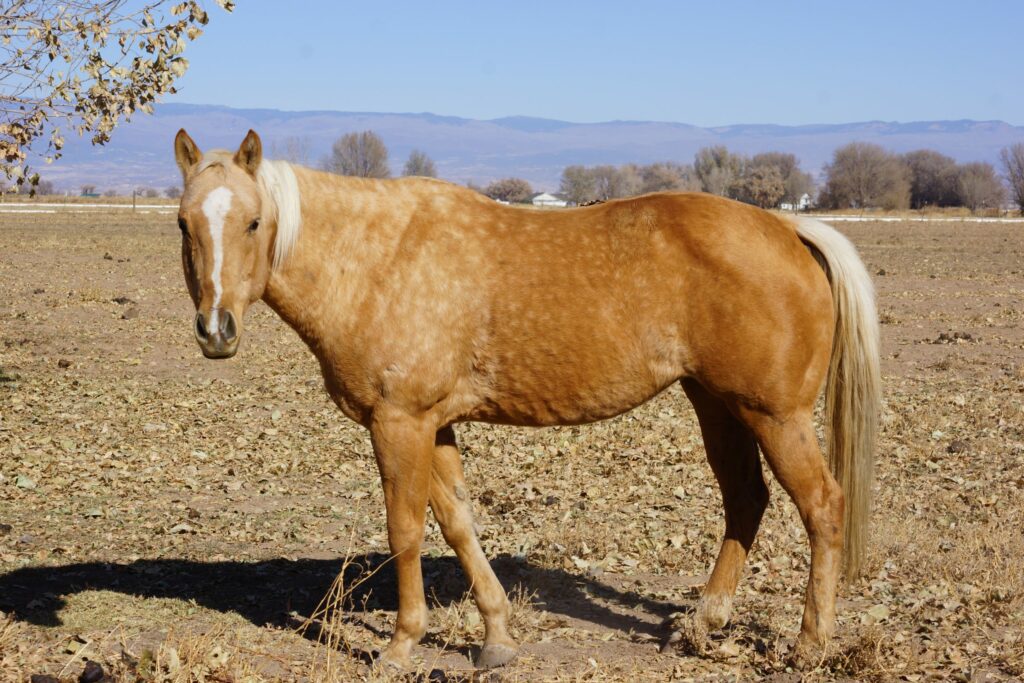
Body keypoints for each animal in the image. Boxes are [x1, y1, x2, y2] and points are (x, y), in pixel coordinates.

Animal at [169, 129, 880, 671]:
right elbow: (458, 522)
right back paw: (701, 625)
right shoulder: (434, 425)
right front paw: (497, 637)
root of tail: (787, 227)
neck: (375, 260)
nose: (215, 331)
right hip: (717, 405)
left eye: (253, 222)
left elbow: (405, 529)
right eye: (183, 223)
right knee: (746, 501)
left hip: (774, 416)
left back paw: (809, 645)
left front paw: (401, 645)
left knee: (822, 507)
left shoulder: (398, 423)